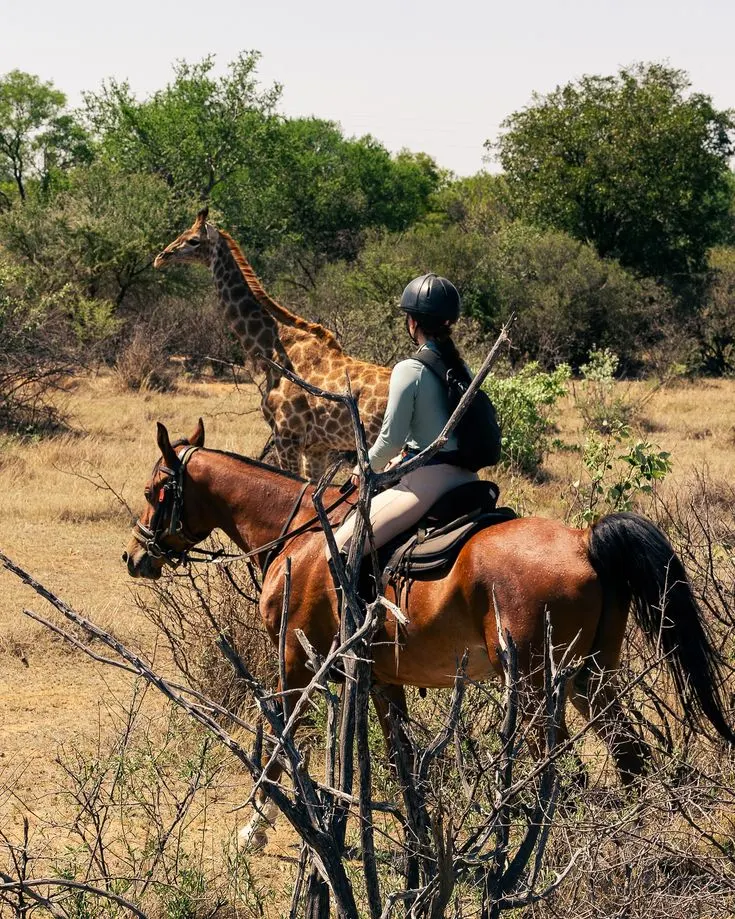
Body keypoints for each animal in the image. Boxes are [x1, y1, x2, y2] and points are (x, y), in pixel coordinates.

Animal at [122, 419, 735, 847]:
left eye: (155, 490)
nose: (133, 556)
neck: (299, 534)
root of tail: (585, 540)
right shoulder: (381, 679)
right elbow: (401, 760)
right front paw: (416, 835)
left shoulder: (294, 666)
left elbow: (278, 742)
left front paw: (255, 827)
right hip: (590, 679)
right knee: (630, 755)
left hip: (539, 687)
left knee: (566, 772)